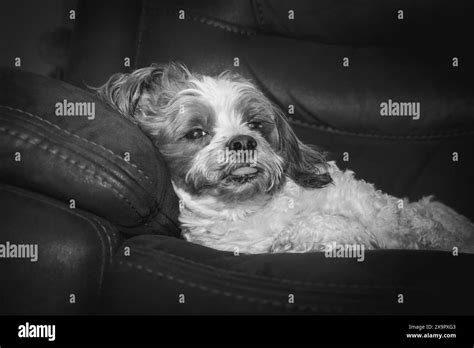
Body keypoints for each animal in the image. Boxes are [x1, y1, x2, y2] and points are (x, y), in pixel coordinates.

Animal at [97, 61, 474, 253]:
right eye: (196, 134)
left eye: (255, 124)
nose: (243, 141)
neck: (252, 207)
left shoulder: (366, 204)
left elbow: (383, 221)